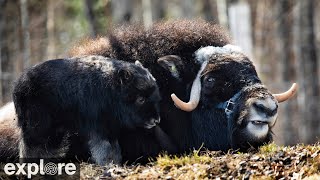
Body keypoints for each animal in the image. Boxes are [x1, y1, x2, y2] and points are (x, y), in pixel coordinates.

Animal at [12, 55, 162, 165]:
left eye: (155, 94)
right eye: (141, 99)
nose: (156, 120)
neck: (110, 90)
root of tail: (19, 84)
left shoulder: (110, 129)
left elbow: (115, 150)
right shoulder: (98, 129)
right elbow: (104, 149)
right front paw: (107, 164)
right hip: (38, 128)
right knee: (31, 147)